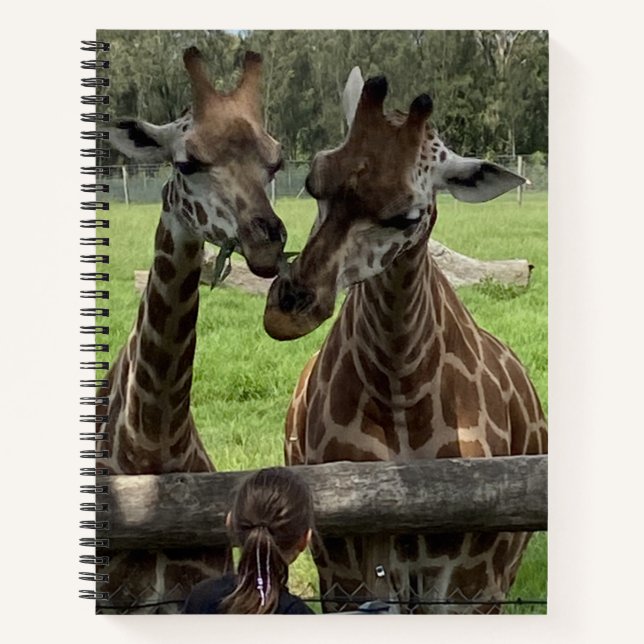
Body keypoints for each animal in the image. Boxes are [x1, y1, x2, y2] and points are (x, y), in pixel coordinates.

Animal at [263, 70, 547, 614]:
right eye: (313, 182)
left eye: (408, 216)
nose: (287, 309)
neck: (402, 393)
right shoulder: (348, 562)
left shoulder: (469, 577)